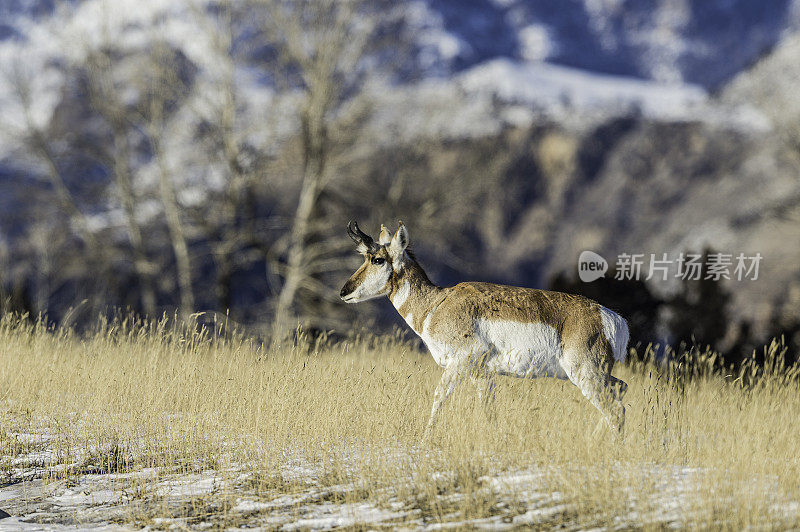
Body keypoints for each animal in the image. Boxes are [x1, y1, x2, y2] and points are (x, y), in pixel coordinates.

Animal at [340, 220, 628, 436]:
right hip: (596, 375)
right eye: (364, 257)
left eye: (378, 259)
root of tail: (611, 317)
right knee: (620, 393)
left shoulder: (461, 362)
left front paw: (424, 439)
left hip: (585, 374)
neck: (436, 304)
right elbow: (489, 411)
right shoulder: (483, 375)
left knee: (615, 410)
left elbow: (439, 397)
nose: (344, 292)